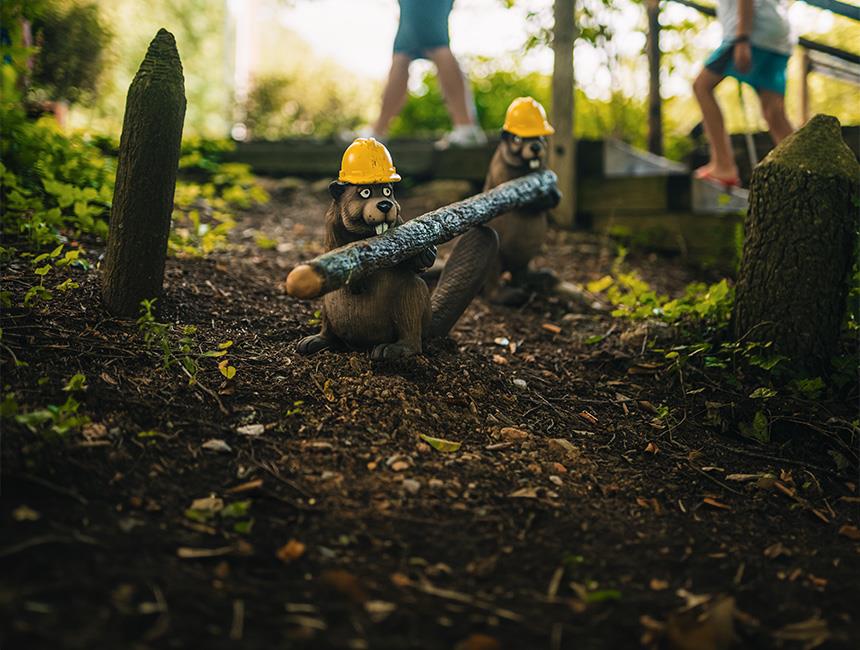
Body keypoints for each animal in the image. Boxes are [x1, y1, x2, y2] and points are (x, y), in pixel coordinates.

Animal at [298, 138, 494, 360]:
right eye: (364, 192)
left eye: (387, 191)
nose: (385, 205)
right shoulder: (330, 224)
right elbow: (334, 250)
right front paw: (356, 279)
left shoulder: (399, 222)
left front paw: (427, 254)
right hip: (326, 302)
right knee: (330, 330)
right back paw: (312, 342)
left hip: (412, 300)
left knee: (413, 333)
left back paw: (389, 350)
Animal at [484, 97, 556, 306]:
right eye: (516, 139)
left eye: (541, 138)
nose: (535, 147)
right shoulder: (501, 172)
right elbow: (525, 203)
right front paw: (545, 198)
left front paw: (555, 194)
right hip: (495, 259)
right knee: (492, 288)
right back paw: (511, 295)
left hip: (526, 258)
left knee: (521, 273)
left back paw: (542, 277)